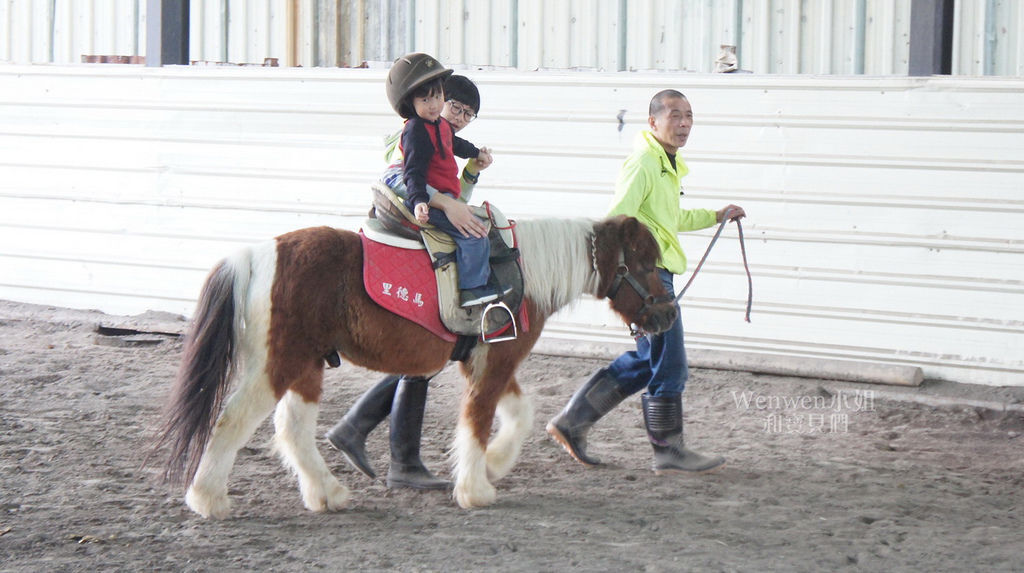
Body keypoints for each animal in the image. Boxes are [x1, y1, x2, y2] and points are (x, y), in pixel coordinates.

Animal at [153, 214, 679, 519]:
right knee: (233, 421)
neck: (522, 271)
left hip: (306, 366)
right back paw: (208, 498)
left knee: (293, 430)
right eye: (645, 262)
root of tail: (258, 254)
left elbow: (520, 414)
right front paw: (474, 488)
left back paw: (327, 494)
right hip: (278, 363)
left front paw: (494, 463)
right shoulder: (493, 364)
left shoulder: (488, 362)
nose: (669, 316)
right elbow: (477, 421)